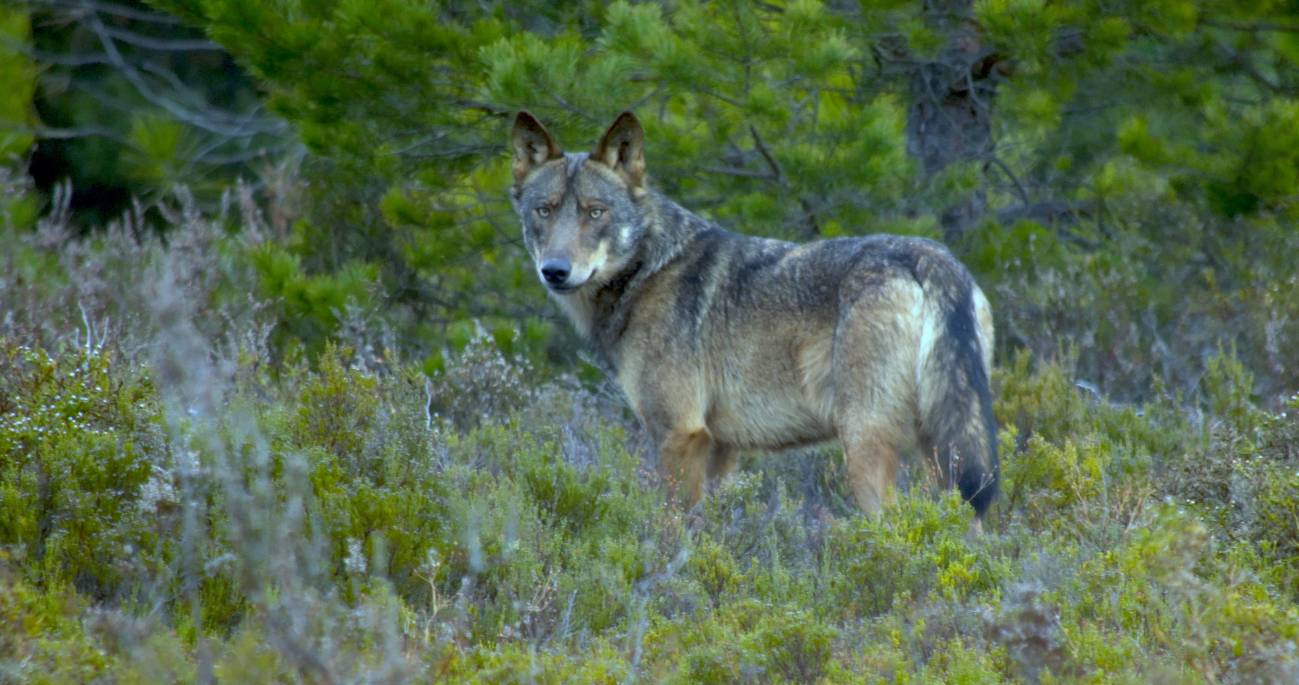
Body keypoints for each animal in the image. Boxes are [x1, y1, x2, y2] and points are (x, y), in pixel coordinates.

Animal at [509, 112, 1002, 519]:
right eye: (544, 211)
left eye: (596, 212)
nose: (555, 271)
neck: (648, 270)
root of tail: (930, 256)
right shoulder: (721, 449)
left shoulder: (678, 434)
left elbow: (670, 531)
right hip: (943, 454)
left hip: (866, 446)